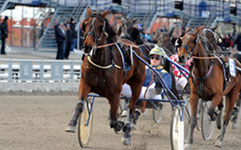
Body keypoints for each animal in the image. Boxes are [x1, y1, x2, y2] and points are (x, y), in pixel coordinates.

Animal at [64, 7, 146, 145]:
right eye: (85, 24)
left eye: (101, 26)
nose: (88, 46)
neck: (100, 63)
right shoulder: (85, 83)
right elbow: (80, 104)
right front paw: (71, 124)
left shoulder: (115, 92)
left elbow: (114, 119)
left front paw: (120, 126)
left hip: (137, 85)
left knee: (131, 107)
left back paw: (127, 132)